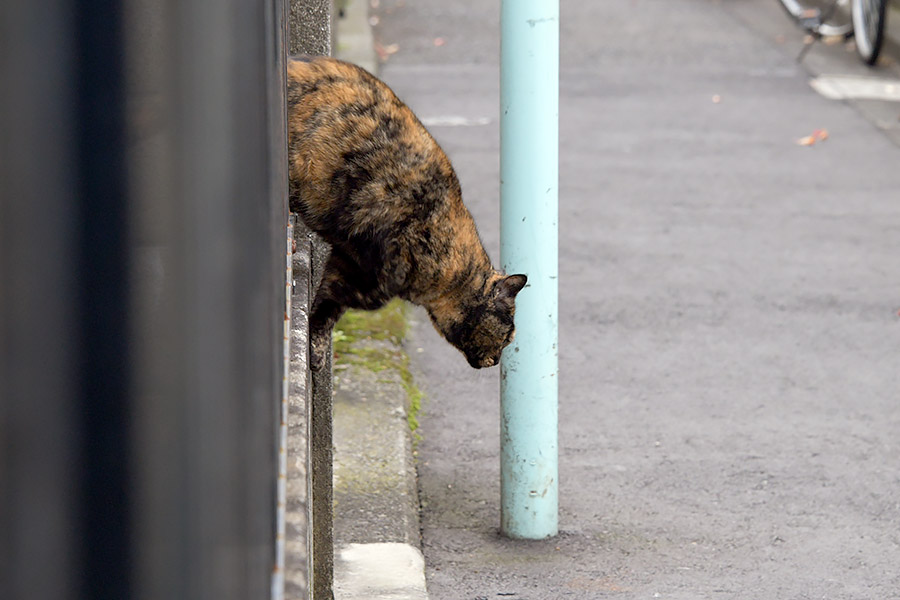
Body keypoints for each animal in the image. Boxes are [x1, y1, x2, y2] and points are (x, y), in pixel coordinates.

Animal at [288, 58, 528, 372]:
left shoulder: (347, 265)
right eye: (509, 336)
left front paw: (315, 351)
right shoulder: (367, 280)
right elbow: (330, 309)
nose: (497, 360)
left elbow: (326, 307)